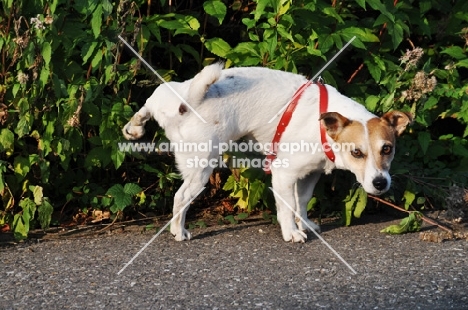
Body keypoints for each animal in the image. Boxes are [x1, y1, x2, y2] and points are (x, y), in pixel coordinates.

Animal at [122, 63, 412, 242]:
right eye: (356, 153)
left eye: (387, 149)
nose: (380, 183)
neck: (323, 126)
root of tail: (188, 103)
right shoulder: (284, 174)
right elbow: (287, 207)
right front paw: (292, 232)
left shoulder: (309, 175)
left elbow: (301, 203)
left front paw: (305, 224)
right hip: (201, 166)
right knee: (180, 198)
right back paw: (178, 230)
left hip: (169, 98)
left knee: (152, 98)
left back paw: (135, 125)